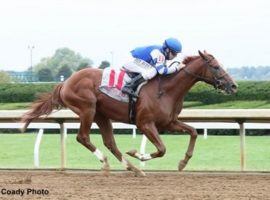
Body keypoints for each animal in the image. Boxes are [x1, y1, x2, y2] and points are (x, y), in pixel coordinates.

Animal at [21, 50, 236, 177]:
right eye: (215, 66)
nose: (233, 86)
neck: (167, 90)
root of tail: (65, 82)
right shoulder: (145, 123)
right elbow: (162, 149)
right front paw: (137, 154)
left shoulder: (169, 122)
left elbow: (193, 132)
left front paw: (183, 162)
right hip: (87, 109)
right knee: (83, 137)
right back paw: (107, 163)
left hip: (101, 115)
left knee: (110, 143)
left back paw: (132, 168)